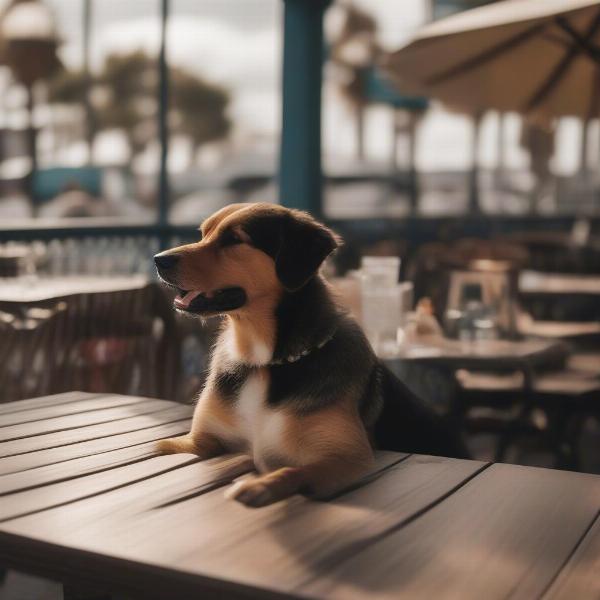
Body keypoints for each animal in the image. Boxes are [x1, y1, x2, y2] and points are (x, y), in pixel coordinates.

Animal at [152, 204, 466, 508]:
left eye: (233, 239)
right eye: (204, 233)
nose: (158, 260)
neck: (265, 360)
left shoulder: (348, 457)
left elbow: (295, 470)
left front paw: (258, 486)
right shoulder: (199, 440)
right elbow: (161, 446)